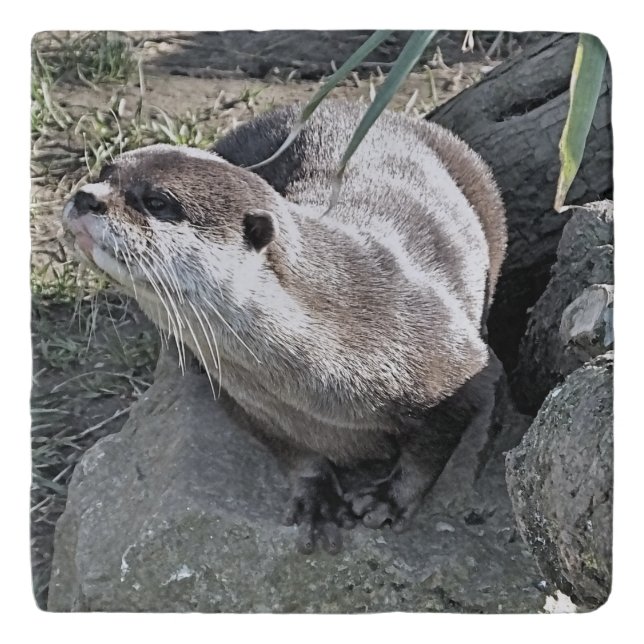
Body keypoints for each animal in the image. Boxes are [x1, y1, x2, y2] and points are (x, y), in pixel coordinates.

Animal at [62, 101, 506, 554]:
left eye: (156, 201)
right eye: (104, 171)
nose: (86, 196)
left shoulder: (457, 364)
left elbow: (435, 445)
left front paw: (389, 499)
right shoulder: (247, 401)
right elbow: (290, 449)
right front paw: (316, 496)